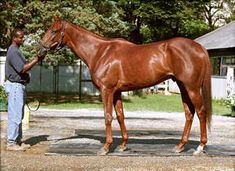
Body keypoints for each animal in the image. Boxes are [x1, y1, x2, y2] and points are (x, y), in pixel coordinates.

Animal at [38, 16, 211, 156]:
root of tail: (199, 47)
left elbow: (108, 116)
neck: (100, 52)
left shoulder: (107, 91)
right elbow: (120, 116)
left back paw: (200, 147)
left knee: (201, 112)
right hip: (183, 87)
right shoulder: (116, 92)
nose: (39, 50)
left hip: (192, 88)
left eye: (54, 31)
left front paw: (106, 147)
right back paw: (180, 146)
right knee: (189, 113)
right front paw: (122, 145)